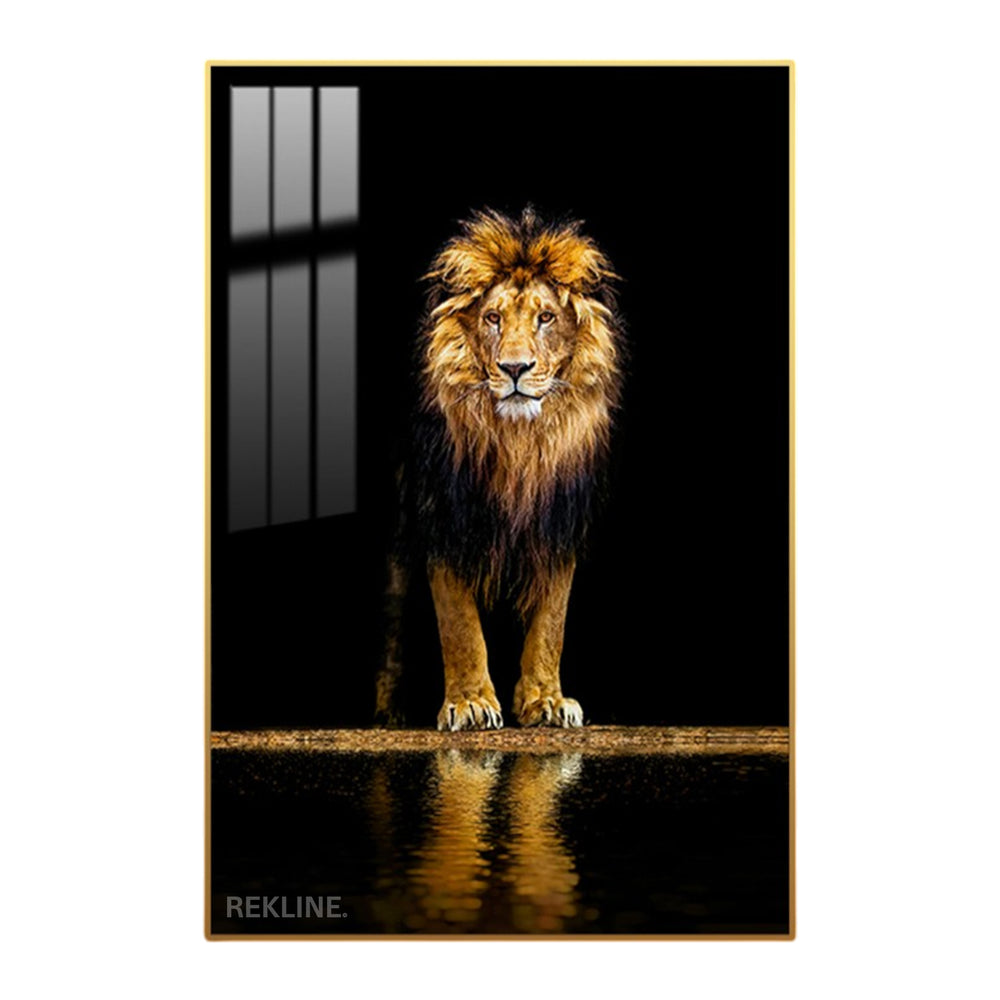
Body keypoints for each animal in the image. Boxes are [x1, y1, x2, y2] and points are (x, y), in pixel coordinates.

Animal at [375, 207, 624, 731]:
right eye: (492, 318)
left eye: (546, 318)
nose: (514, 368)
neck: (519, 444)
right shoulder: (444, 512)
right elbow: (459, 622)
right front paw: (469, 703)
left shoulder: (558, 520)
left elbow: (552, 621)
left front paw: (546, 700)